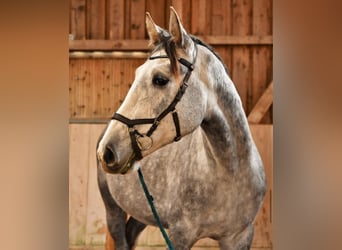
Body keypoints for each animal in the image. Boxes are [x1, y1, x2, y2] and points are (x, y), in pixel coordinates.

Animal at [96, 7, 268, 250]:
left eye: (159, 79)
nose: (107, 151)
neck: (229, 172)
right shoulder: (180, 235)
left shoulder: (240, 237)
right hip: (114, 212)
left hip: (144, 214)